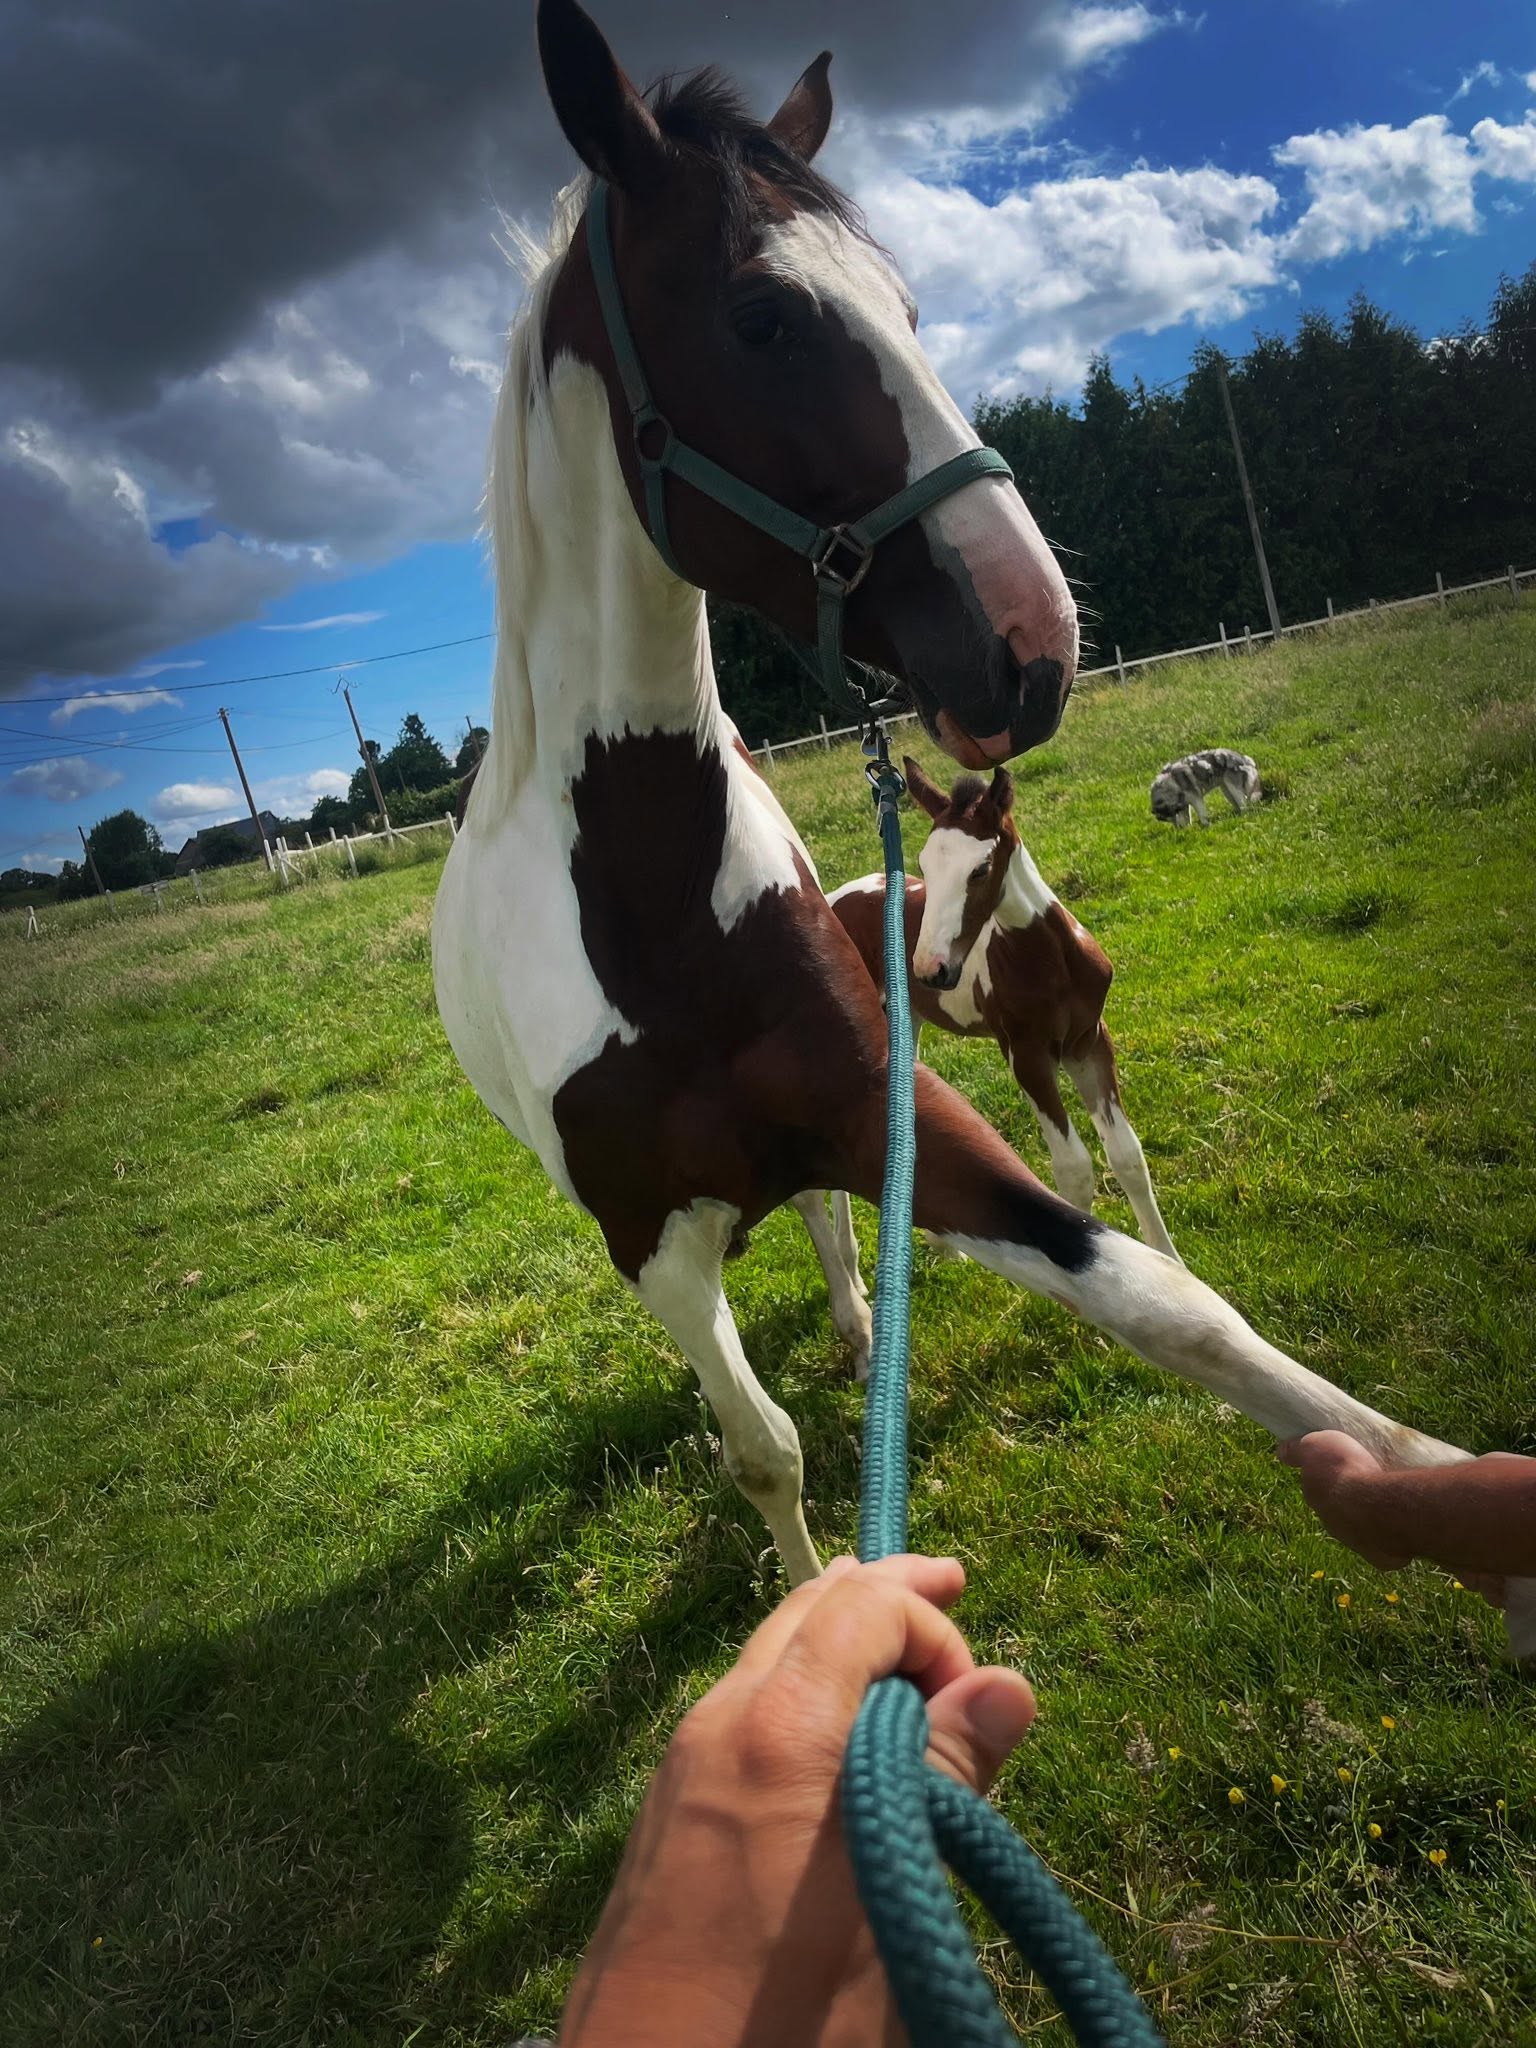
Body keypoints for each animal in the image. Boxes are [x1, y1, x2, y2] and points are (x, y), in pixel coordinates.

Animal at [828, 757, 1178, 1261]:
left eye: (980, 869)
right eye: (924, 865)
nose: (930, 968)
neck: (1051, 958)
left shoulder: (1089, 1041)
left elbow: (1127, 1155)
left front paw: (1175, 1265)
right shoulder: (1026, 1055)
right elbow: (1073, 1170)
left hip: (906, 1019)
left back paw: (942, 1243)